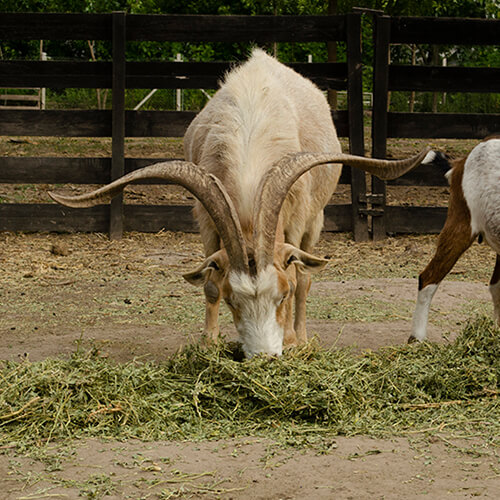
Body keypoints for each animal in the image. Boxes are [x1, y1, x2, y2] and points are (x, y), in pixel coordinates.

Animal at [48, 48, 428, 358]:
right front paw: (208, 342)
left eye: (281, 296)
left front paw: (291, 341)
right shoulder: (206, 220)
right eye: (233, 299)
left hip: (315, 219)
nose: (264, 356)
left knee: (306, 275)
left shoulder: (295, 219)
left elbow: (295, 274)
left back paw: (302, 336)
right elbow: (208, 282)